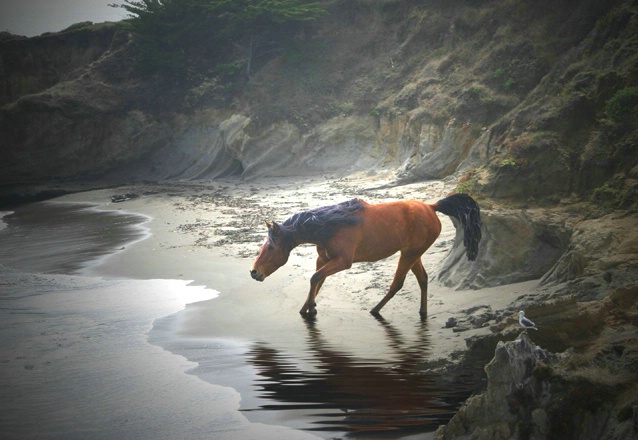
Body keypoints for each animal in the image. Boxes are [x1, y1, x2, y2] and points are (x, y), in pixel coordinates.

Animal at [252, 194, 482, 318]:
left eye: (270, 248)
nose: (254, 273)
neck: (331, 226)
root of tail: (432, 207)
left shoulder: (343, 262)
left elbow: (315, 278)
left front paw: (311, 309)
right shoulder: (324, 259)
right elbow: (317, 281)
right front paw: (306, 308)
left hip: (409, 254)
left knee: (397, 284)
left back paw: (375, 310)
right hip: (413, 253)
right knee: (423, 279)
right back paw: (422, 312)